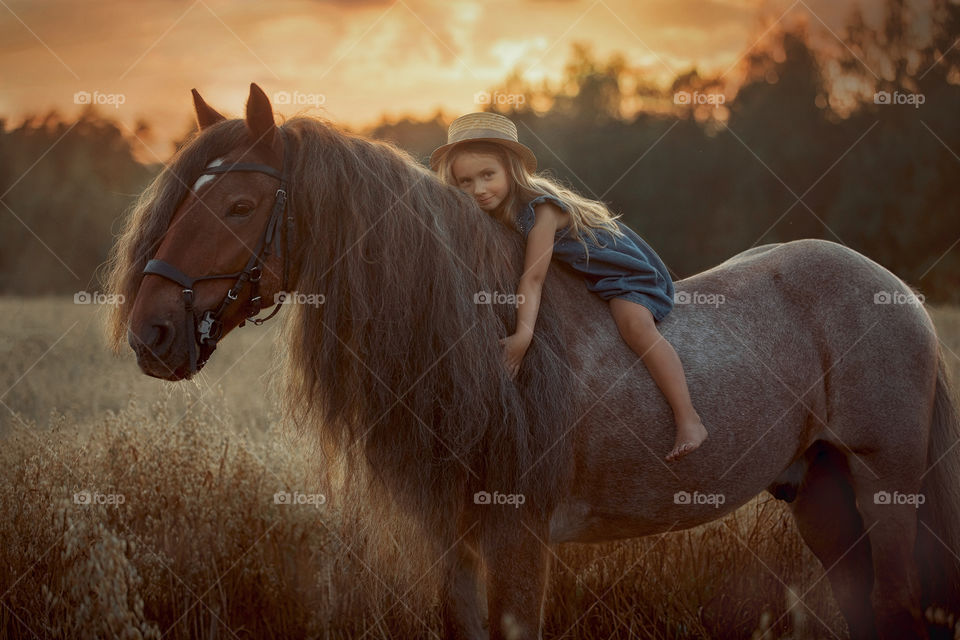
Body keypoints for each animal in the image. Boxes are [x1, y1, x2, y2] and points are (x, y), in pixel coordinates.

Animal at [103, 82, 960, 636]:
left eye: (240, 205)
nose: (151, 334)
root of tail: (895, 291)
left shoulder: (521, 541)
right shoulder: (449, 540)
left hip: (886, 489)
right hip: (822, 494)